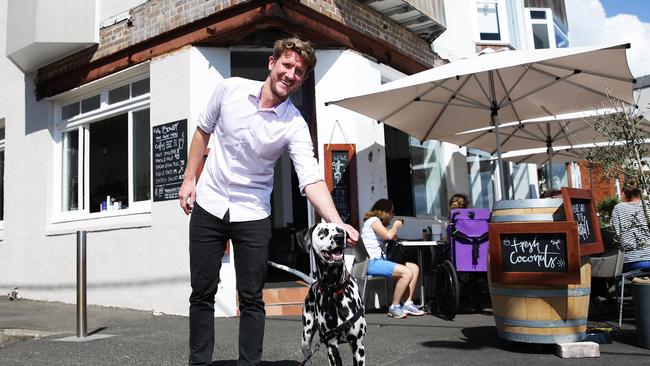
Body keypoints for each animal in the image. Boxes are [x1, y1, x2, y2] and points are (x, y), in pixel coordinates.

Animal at [298, 223, 364, 366]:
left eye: (340, 230)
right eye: (323, 232)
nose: (339, 237)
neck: (334, 289)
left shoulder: (358, 345)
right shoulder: (331, 346)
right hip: (306, 337)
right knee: (307, 356)